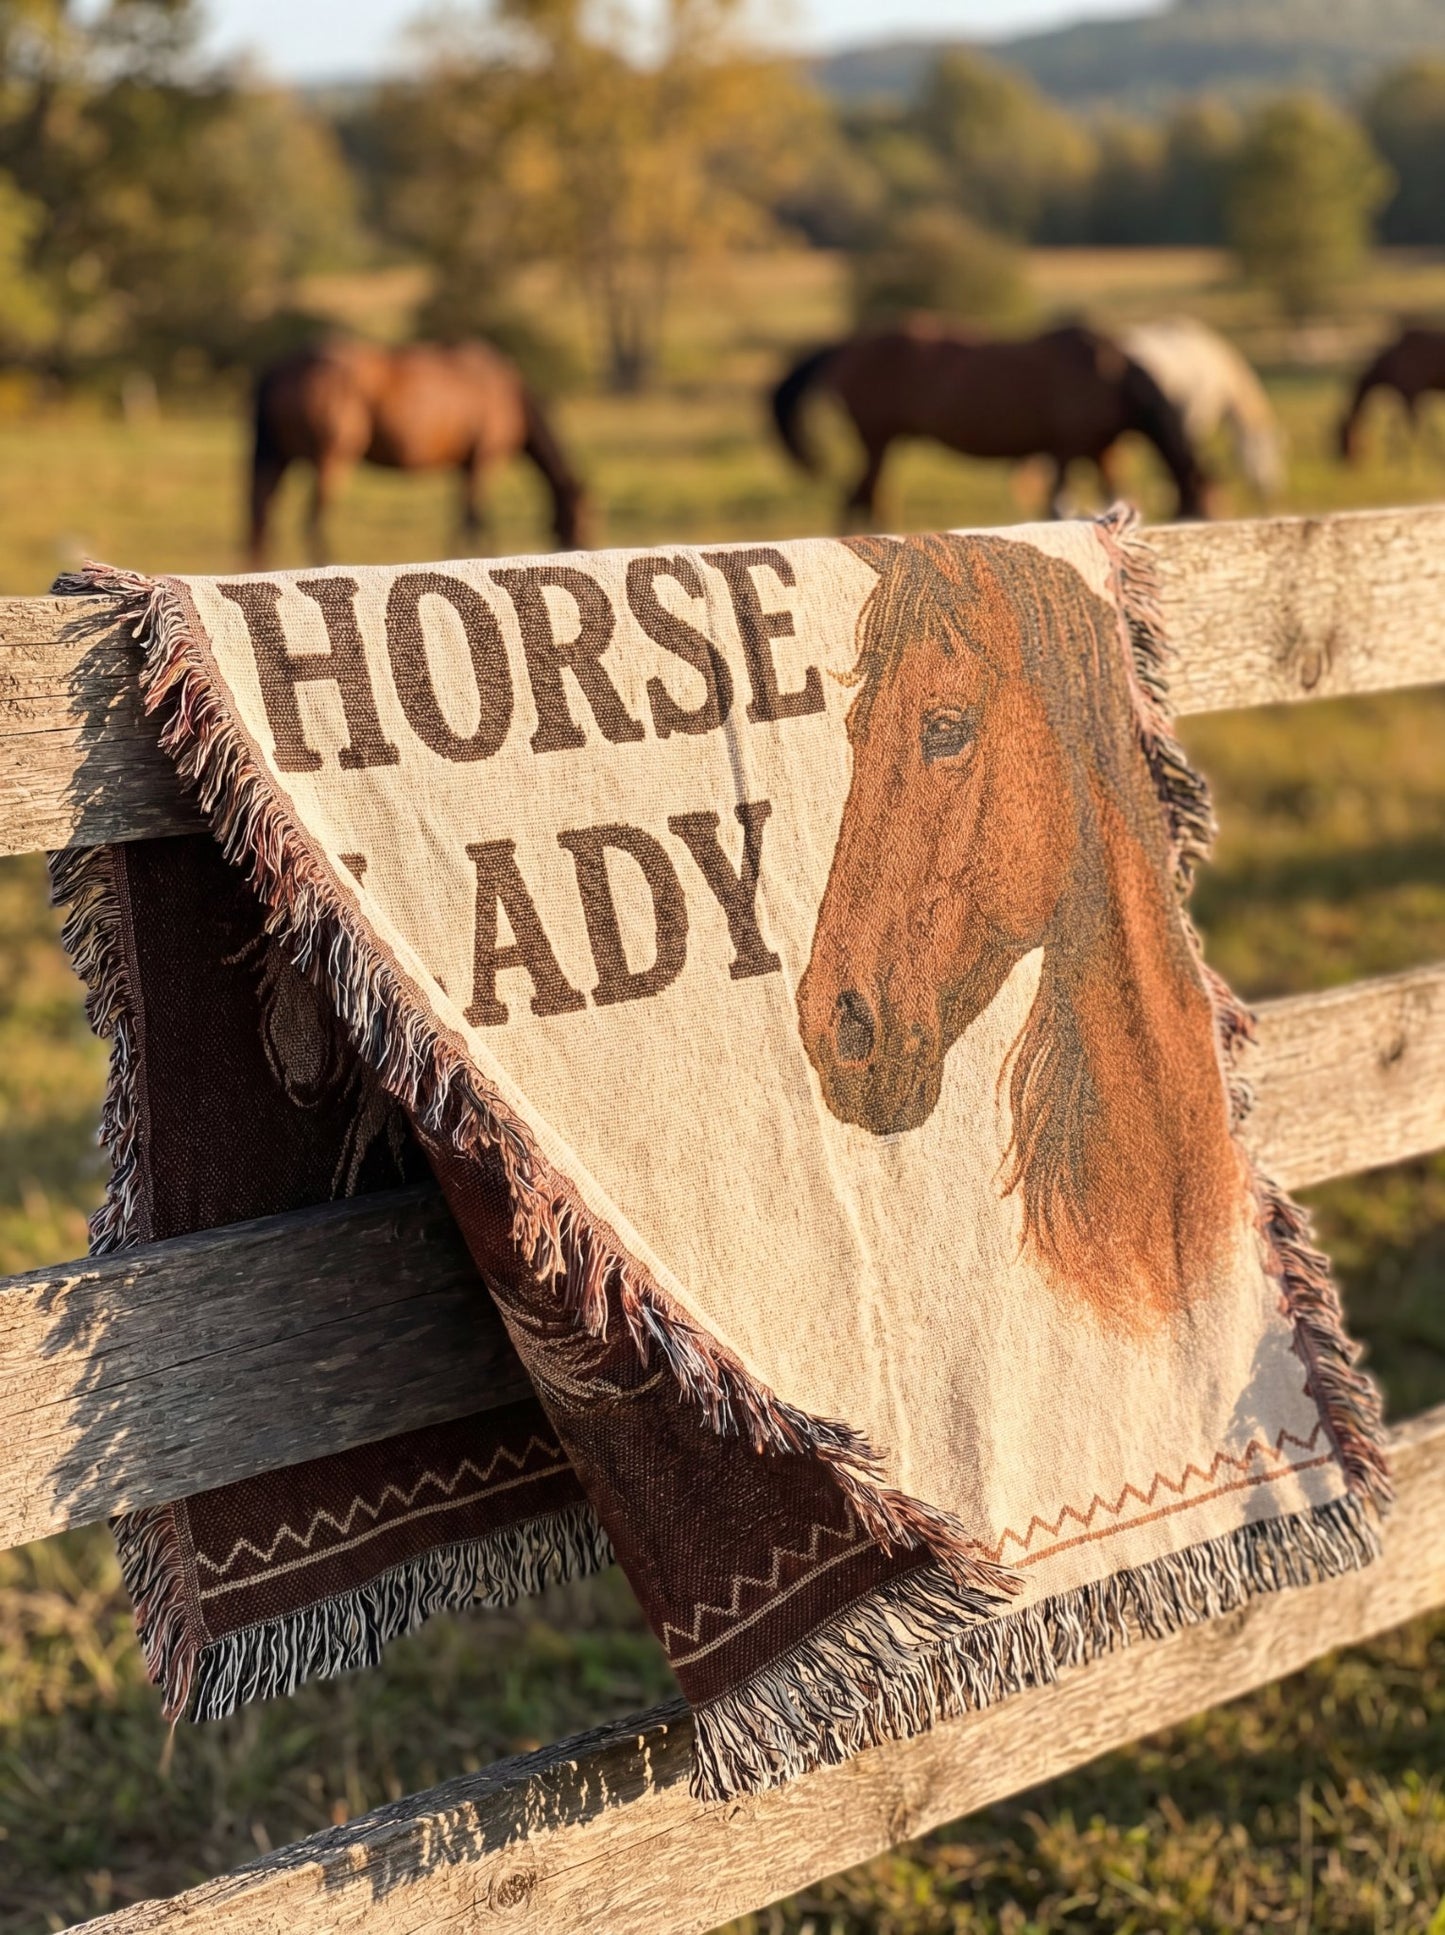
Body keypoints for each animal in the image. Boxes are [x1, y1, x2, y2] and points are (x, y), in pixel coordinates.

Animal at [248, 340, 590, 566]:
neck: (509, 395)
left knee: (264, 512)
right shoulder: (484, 460)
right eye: (582, 514)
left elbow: (463, 516)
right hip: (330, 461)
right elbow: (477, 516)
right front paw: (485, 553)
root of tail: (279, 369)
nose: (582, 546)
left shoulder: (464, 466)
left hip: (279, 459)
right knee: (312, 520)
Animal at [770, 322, 1209, 526]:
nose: (1204, 521)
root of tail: (848, 347)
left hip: (885, 442)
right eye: (1201, 499)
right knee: (858, 498)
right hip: (876, 439)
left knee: (869, 496)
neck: (1110, 376)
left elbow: (1113, 495)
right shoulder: (1067, 448)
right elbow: (1057, 503)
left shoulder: (1103, 451)